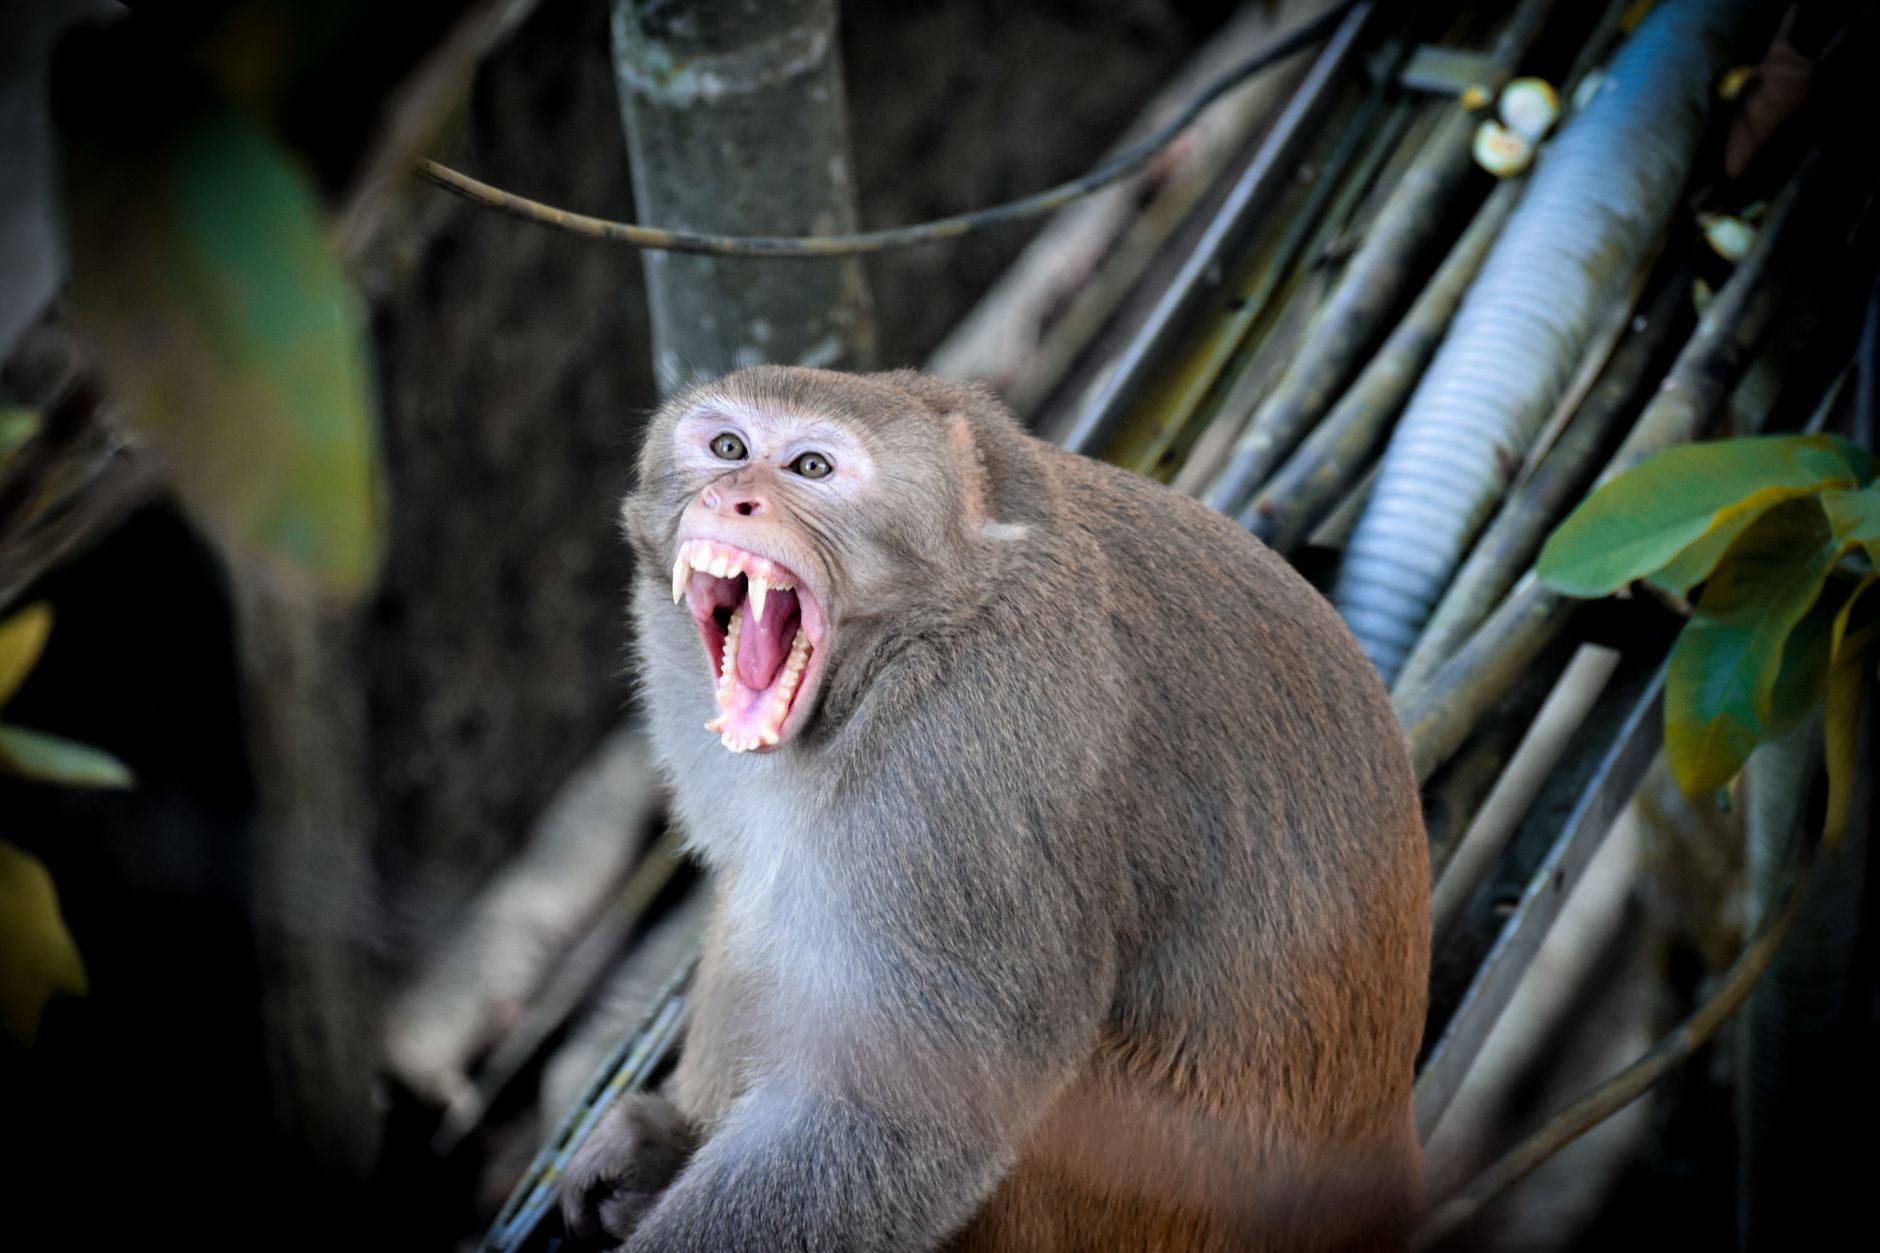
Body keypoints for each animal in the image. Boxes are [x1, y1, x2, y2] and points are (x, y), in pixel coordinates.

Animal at [561, 366, 1430, 1252]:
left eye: (810, 467)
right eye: (729, 447)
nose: (732, 496)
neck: (928, 626)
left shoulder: (964, 771)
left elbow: (895, 1113)